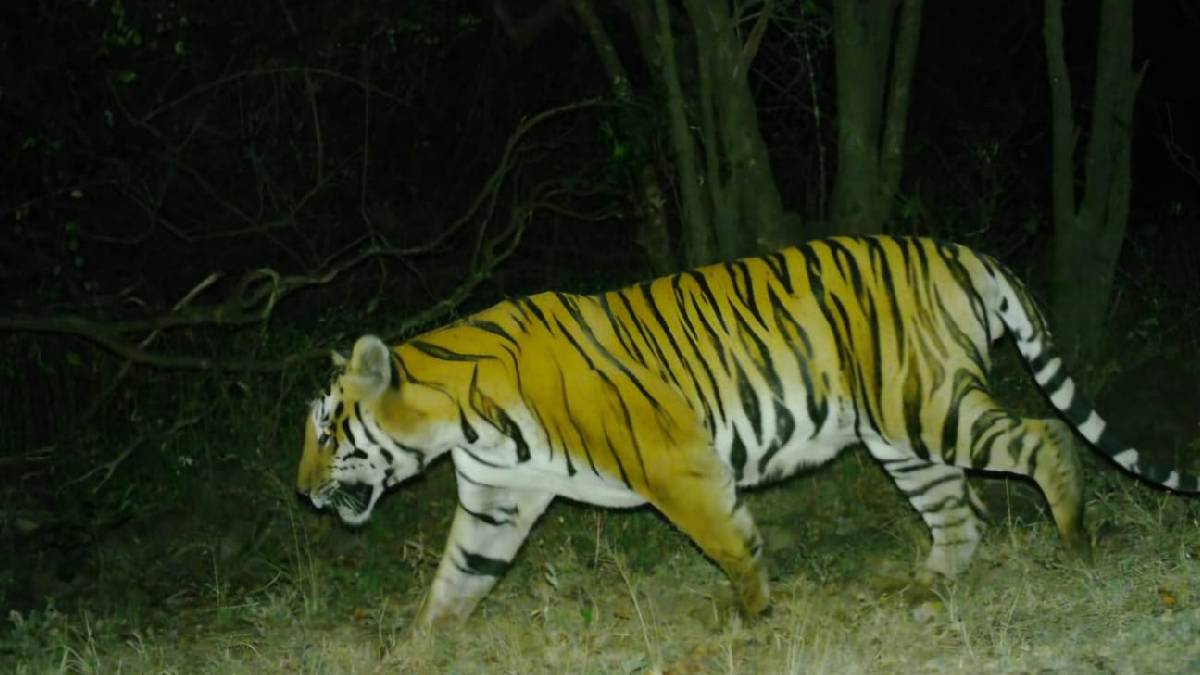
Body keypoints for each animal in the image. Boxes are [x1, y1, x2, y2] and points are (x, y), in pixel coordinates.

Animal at [296, 235, 1198, 626]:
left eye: (328, 430)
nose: (303, 493)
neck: (462, 420)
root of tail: (960, 247)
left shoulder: (676, 459)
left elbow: (729, 538)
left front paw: (754, 611)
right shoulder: (498, 499)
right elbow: (458, 577)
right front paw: (422, 645)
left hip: (929, 404)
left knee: (1044, 436)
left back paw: (1076, 539)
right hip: (902, 434)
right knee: (962, 511)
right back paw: (924, 587)